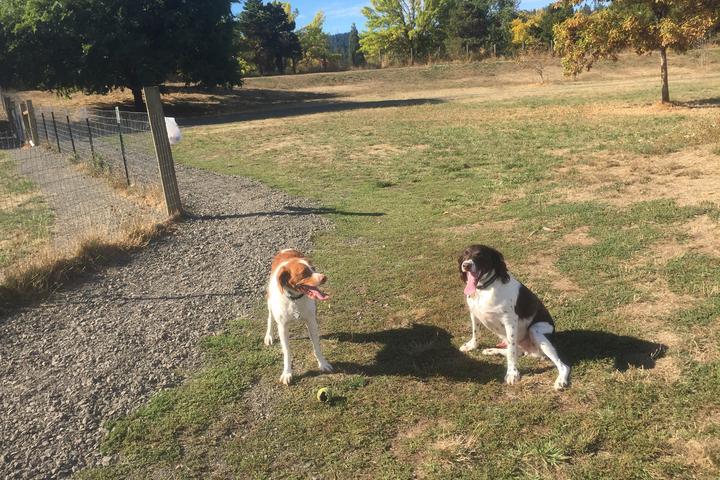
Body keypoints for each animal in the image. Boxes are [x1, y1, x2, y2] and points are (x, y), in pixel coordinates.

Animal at [262, 249, 334, 384]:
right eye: (304, 273)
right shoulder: (282, 327)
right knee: (270, 318)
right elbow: (287, 352)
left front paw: (322, 363)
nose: (324, 277)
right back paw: (269, 336)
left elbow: (317, 346)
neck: (295, 299)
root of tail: (286, 250)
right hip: (270, 302)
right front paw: (287, 373)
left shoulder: (311, 321)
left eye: (313, 268)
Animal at [458, 244, 572, 390]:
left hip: (536, 331)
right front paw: (472, 346)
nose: (466, 265)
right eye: (465, 254)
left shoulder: (510, 323)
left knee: (563, 365)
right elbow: (475, 333)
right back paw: (492, 350)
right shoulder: (474, 313)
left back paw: (560, 381)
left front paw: (512, 373)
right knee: (518, 352)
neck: (485, 289)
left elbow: (511, 353)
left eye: (479, 255)